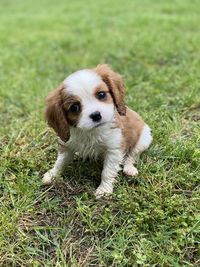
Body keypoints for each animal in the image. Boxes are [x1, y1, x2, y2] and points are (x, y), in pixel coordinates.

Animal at [42, 65, 152, 199]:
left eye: (101, 94)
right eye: (75, 107)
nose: (96, 115)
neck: (91, 132)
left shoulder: (114, 148)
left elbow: (107, 171)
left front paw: (104, 190)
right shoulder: (67, 144)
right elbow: (60, 161)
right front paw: (52, 174)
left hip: (144, 138)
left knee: (132, 155)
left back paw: (129, 169)